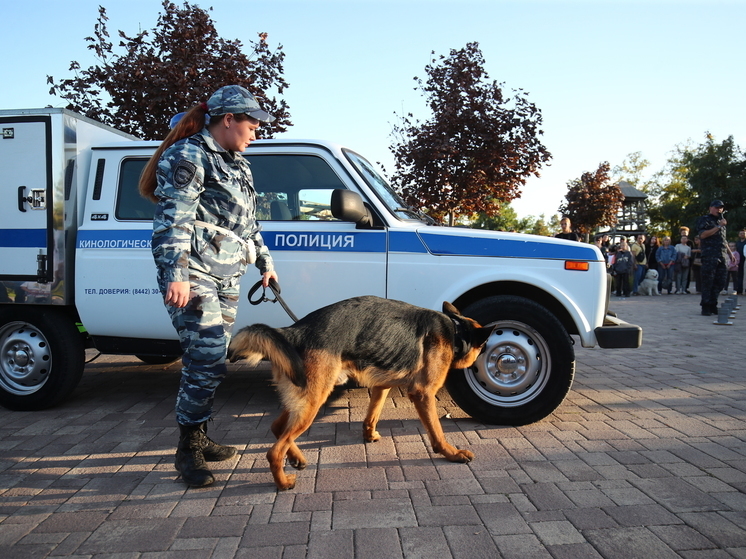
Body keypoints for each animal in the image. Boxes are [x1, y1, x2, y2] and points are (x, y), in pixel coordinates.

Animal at [230, 296, 492, 492]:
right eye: (482, 348)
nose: (480, 362)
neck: (456, 331)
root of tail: (295, 331)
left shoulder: (381, 386)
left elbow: (372, 414)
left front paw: (369, 434)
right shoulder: (423, 394)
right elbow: (437, 431)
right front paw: (450, 453)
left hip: (304, 400)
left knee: (277, 428)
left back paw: (296, 458)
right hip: (314, 400)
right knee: (275, 450)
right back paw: (283, 482)